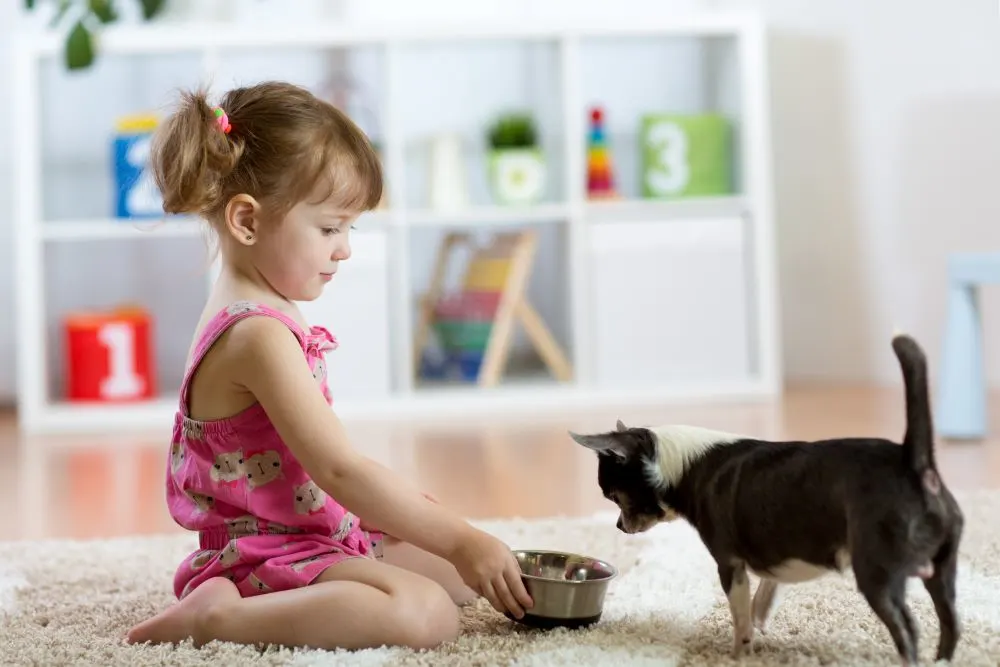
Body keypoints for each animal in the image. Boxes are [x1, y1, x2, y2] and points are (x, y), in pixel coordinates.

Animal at [576, 334, 964, 664]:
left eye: (614, 497)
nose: (619, 525)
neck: (683, 464)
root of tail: (914, 462)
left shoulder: (729, 564)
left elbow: (739, 615)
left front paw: (738, 653)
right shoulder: (772, 550)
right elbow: (766, 590)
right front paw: (761, 620)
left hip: (876, 573)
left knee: (908, 630)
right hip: (942, 571)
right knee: (951, 623)